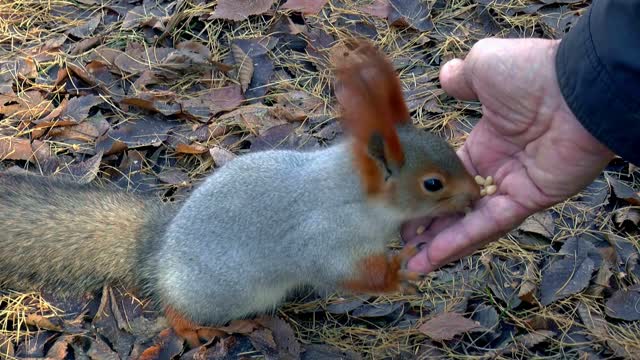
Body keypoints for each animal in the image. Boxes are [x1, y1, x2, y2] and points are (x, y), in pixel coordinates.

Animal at [0, 38, 480, 348]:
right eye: (433, 183)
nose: (476, 197)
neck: (353, 194)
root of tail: (157, 251)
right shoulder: (323, 238)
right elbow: (340, 272)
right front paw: (398, 273)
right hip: (218, 293)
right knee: (175, 307)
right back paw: (190, 327)